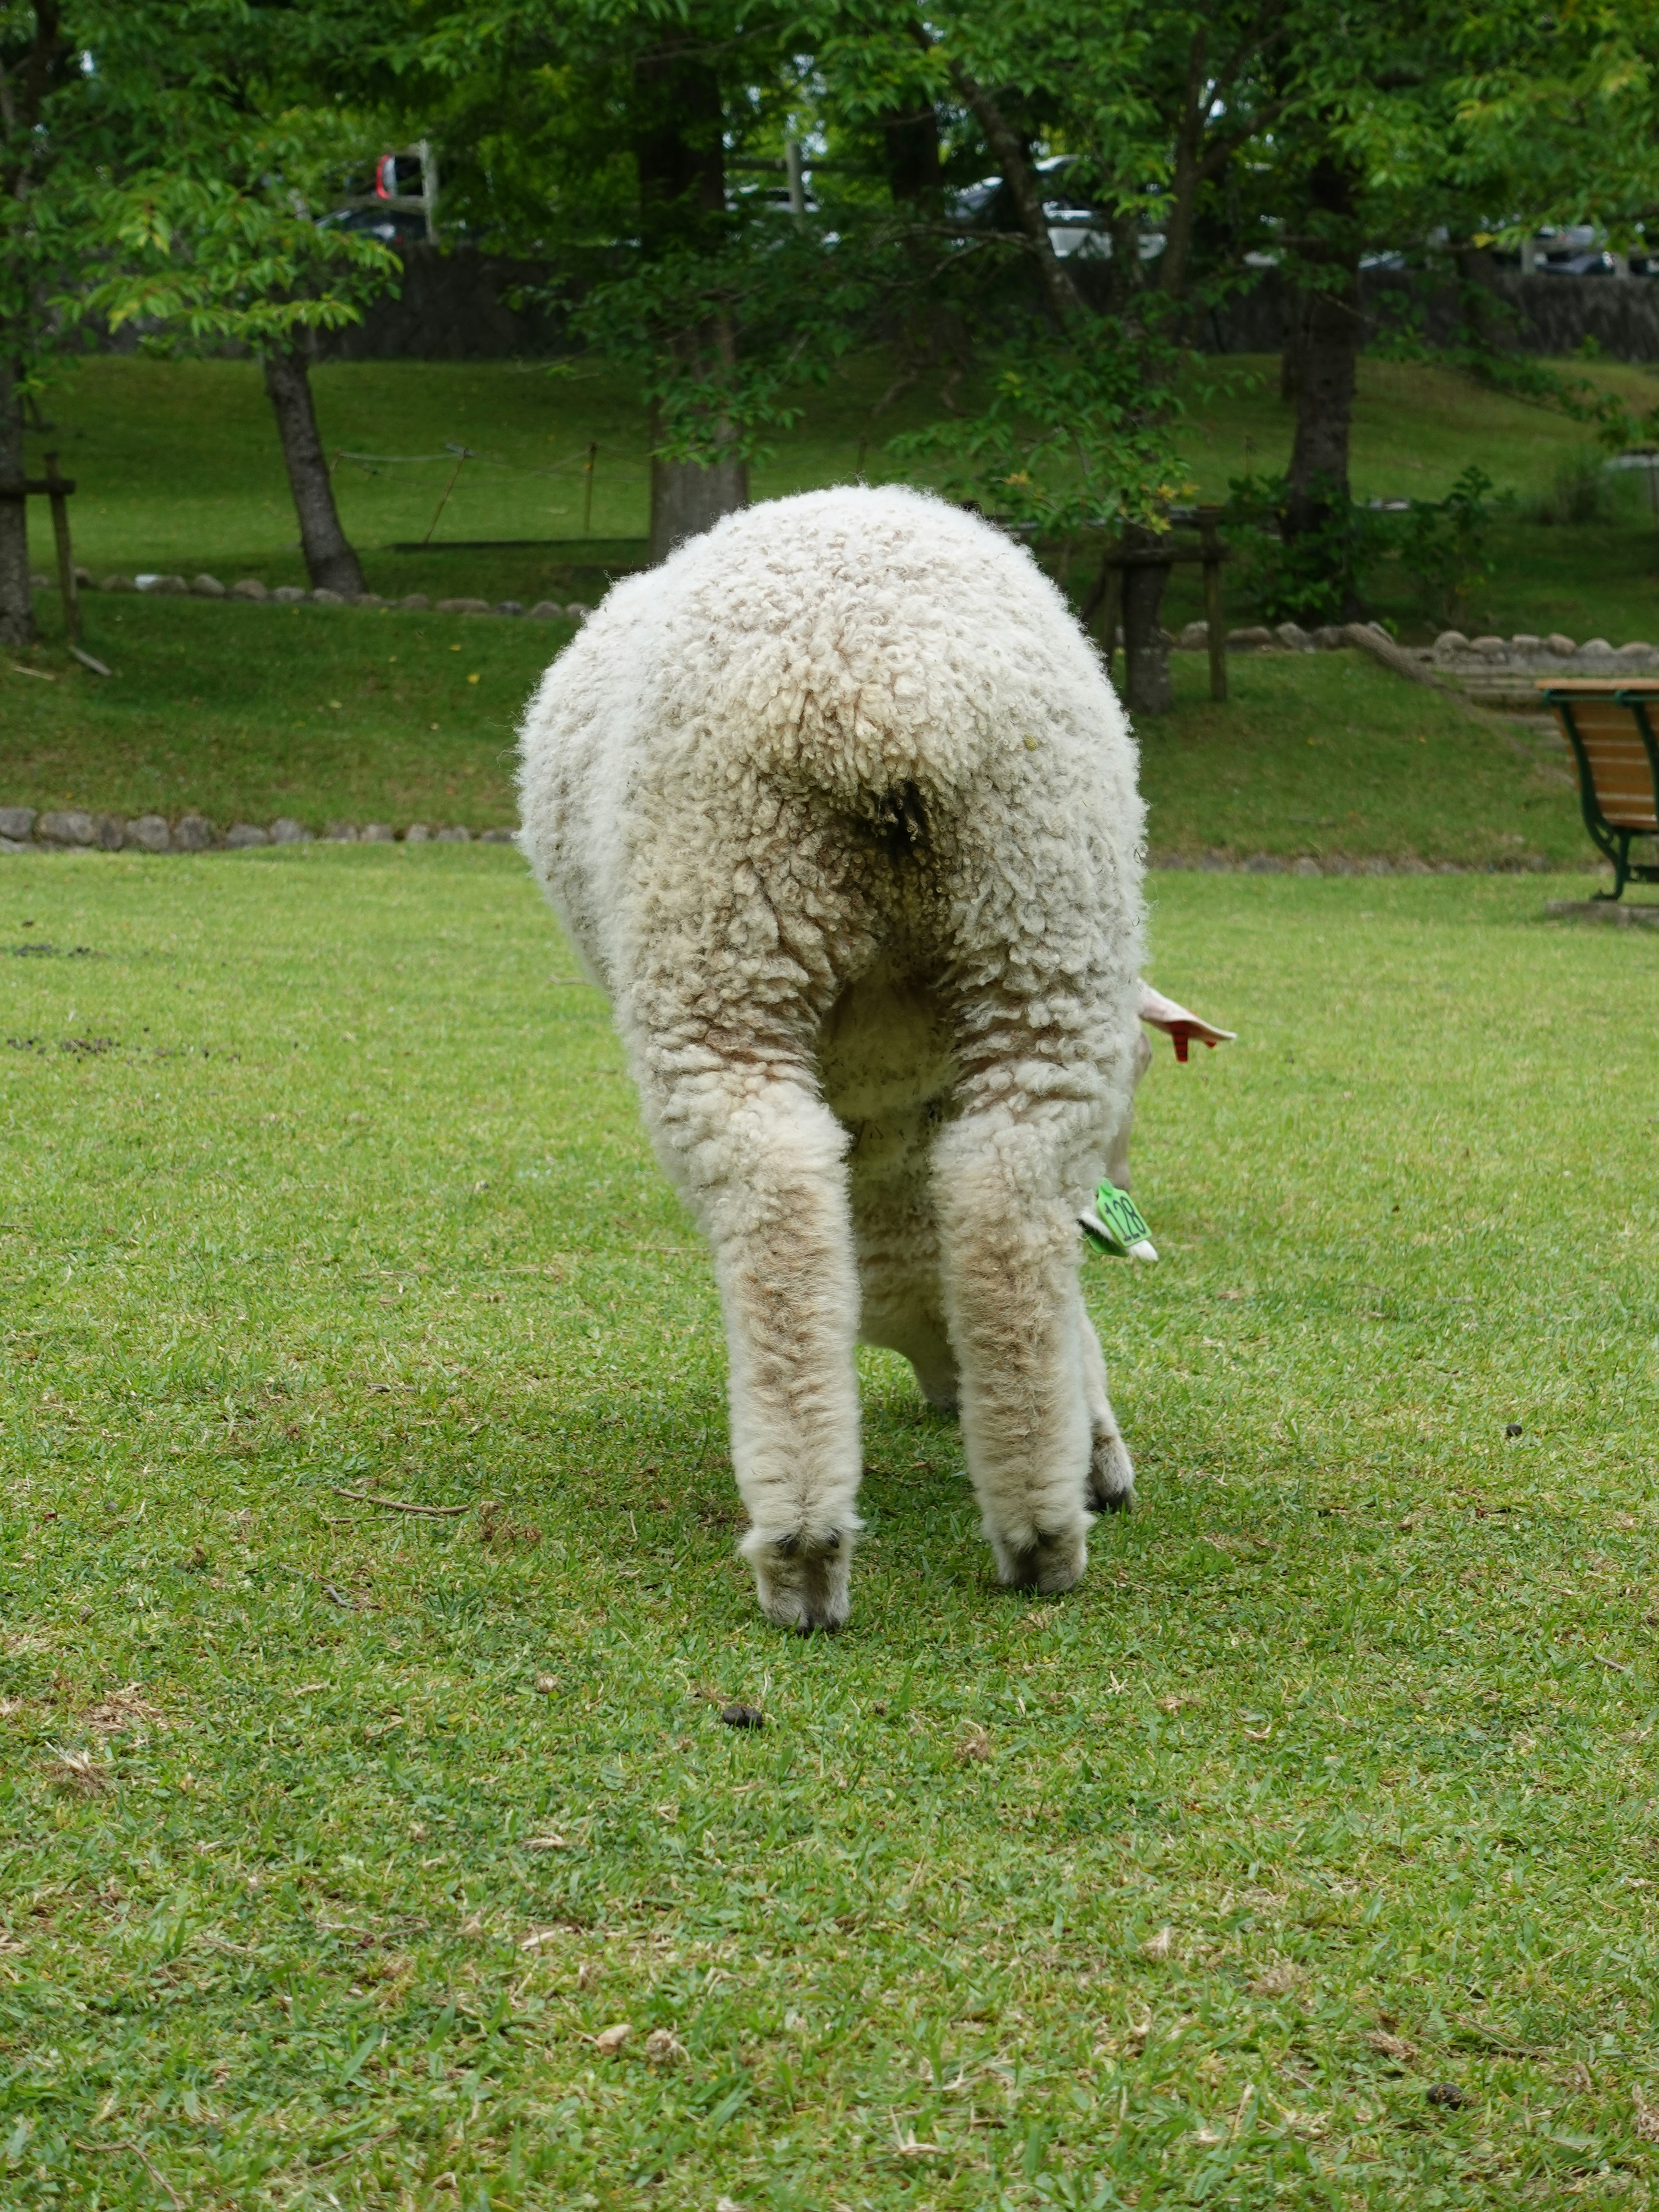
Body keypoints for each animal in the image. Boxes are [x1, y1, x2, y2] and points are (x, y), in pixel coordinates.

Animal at [526, 484, 1159, 1628]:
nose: (943, 1396)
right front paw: (1094, 1452)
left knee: (776, 1213)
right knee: (1006, 1207)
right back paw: (1039, 1531)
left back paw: (803, 1549)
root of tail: (883, 692)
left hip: (721, 938)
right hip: (1046, 921)